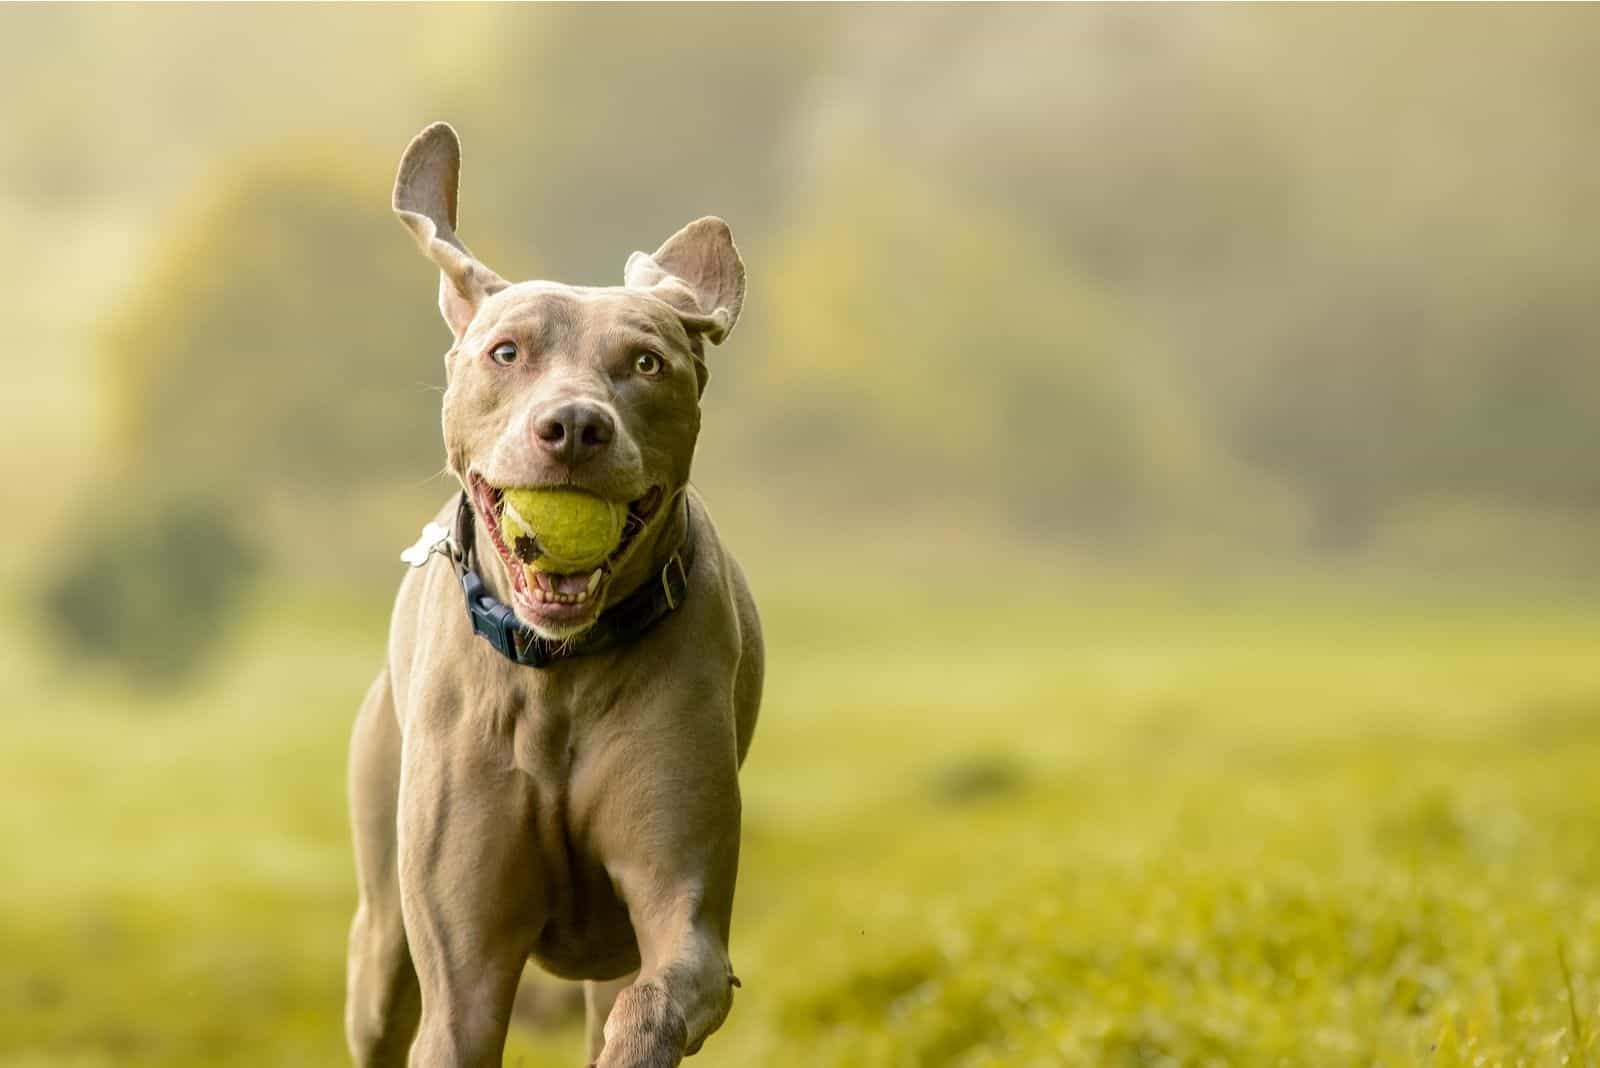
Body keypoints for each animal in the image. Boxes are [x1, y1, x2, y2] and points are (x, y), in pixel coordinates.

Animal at [342, 123, 761, 1068]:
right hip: (381, 926)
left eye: (646, 362)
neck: (558, 671)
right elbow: (458, 1012)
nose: (572, 427)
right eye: (507, 352)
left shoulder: (683, 909)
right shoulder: (461, 974)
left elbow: (661, 997)